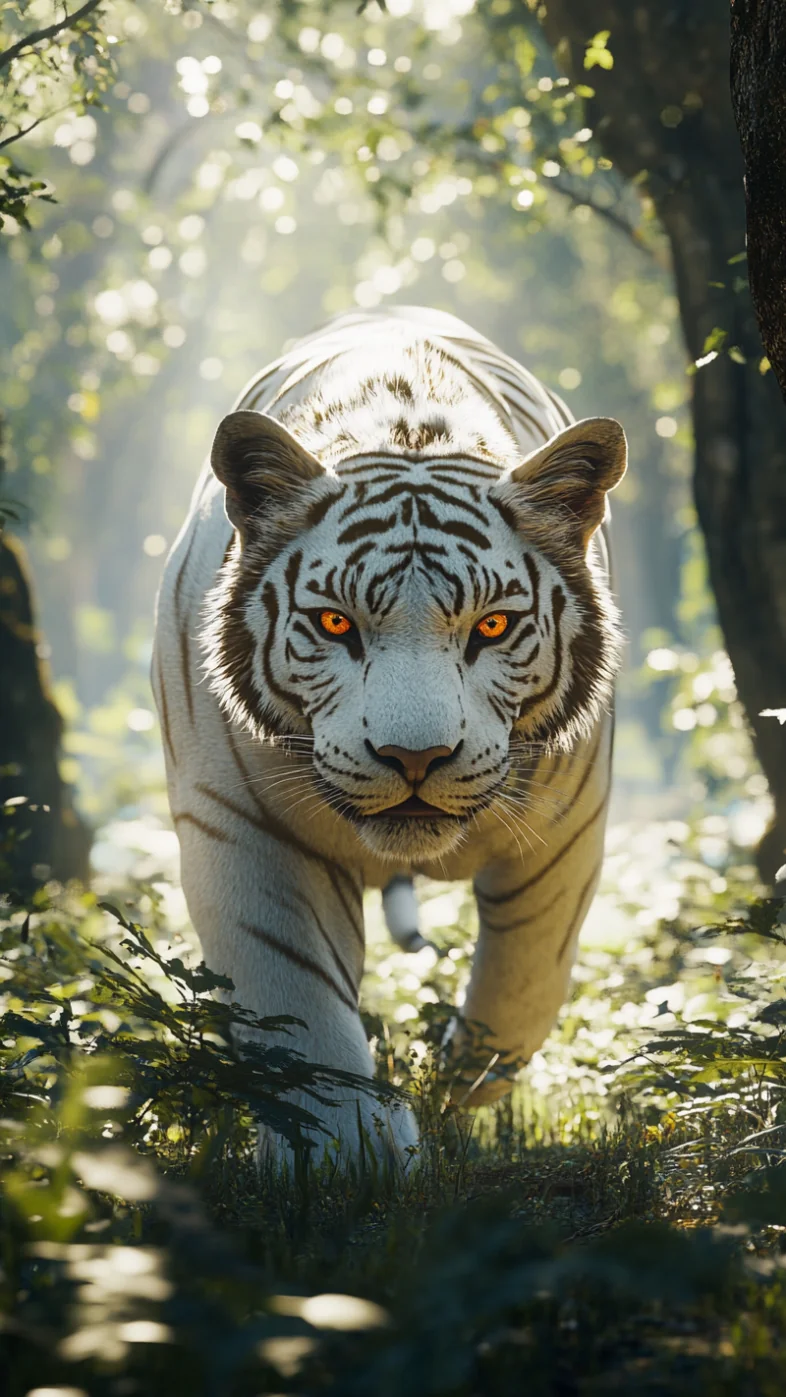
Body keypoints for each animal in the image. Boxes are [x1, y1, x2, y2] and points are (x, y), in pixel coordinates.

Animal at [152, 306, 626, 1163]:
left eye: (492, 626)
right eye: (335, 623)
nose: (415, 758)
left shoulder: (565, 834)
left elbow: (523, 984)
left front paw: (456, 1082)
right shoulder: (243, 823)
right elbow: (299, 999)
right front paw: (342, 1154)